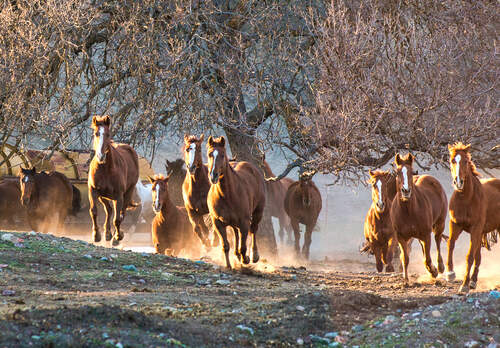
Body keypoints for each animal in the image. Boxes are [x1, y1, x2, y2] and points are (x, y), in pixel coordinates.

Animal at [88, 115, 139, 246]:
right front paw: (96, 235)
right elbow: (94, 211)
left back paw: (115, 235)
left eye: (108, 134)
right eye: (96, 133)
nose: (101, 156)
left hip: (128, 192)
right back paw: (107, 233)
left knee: (121, 213)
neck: (105, 169)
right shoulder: (93, 191)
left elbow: (117, 219)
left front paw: (118, 237)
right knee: (109, 210)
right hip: (103, 196)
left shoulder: (119, 196)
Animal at [205, 136, 266, 270]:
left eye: (222, 155)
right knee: (236, 233)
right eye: (210, 154)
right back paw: (236, 255)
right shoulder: (218, 223)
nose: (213, 176)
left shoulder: (244, 222)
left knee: (253, 230)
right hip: (232, 222)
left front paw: (246, 259)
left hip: (258, 212)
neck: (227, 195)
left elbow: (243, 246)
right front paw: (228, 265)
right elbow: (225, 245)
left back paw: (254, 255)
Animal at [388, 154, 448, 284]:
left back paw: (440, 267)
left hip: (439, 223)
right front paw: (406, 279)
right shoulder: (401, 237)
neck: (408, 212)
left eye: (411, 172)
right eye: (398, 172)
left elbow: (427, 259)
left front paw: (434, 271)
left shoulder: (426, 235)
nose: (406, 191)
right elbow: (405, 258)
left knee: (437, 240)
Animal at [446, 143, 500, 292]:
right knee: (478, 257)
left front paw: (464, 285)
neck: (466, 199)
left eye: (465, 161)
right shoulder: (455, 224)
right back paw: (474, 281)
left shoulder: (475, 228)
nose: (458, 182)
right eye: (452, 160)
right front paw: (450, 273)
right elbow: (450, 244)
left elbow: (469, 256)